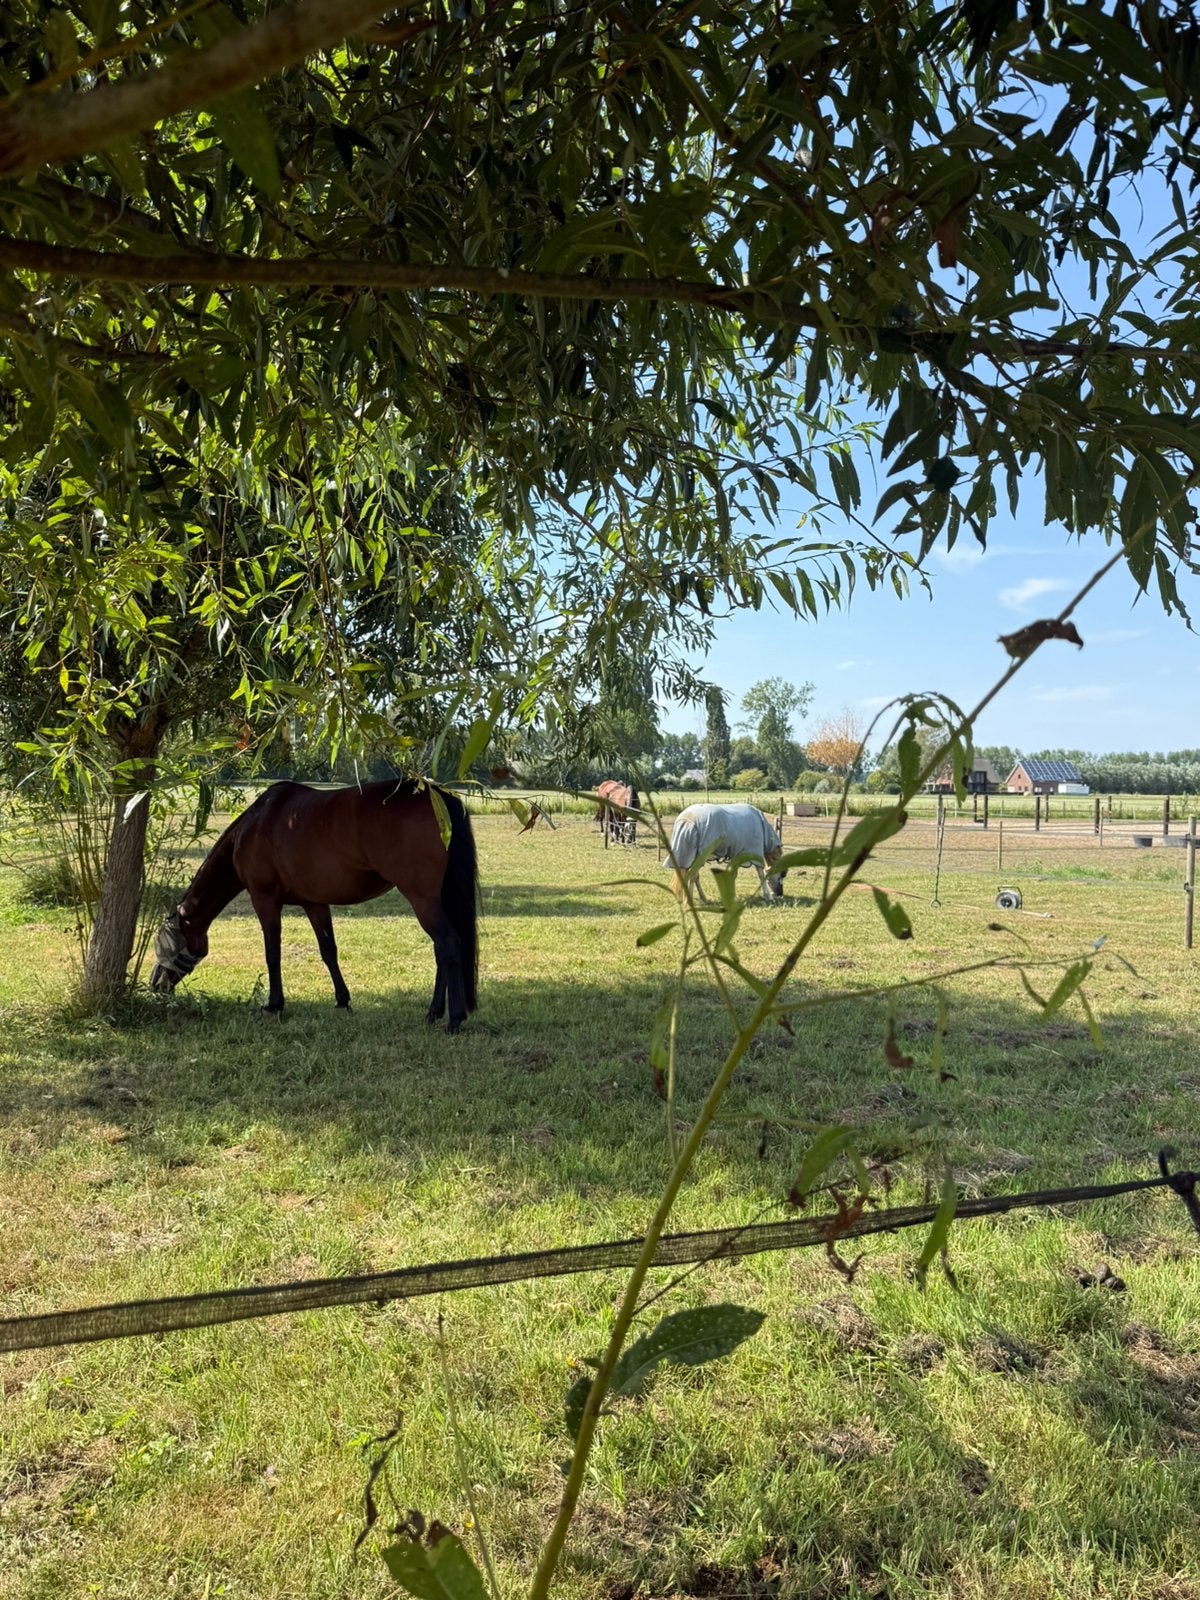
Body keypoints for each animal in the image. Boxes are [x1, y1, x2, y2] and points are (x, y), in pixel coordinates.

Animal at [149, 780, 479, 1031]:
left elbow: (272, 954)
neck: (256, 824)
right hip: (436, 899)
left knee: (447, 943)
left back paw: (454, 1019)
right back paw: (434, 1013)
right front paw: (343, 1000)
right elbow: (328, 951)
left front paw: (274, 1005)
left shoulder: (264, 900)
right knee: (443, 949)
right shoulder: (314, 903)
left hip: (422, 898)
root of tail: (436, 794)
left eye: (162, 942)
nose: (155, 985)